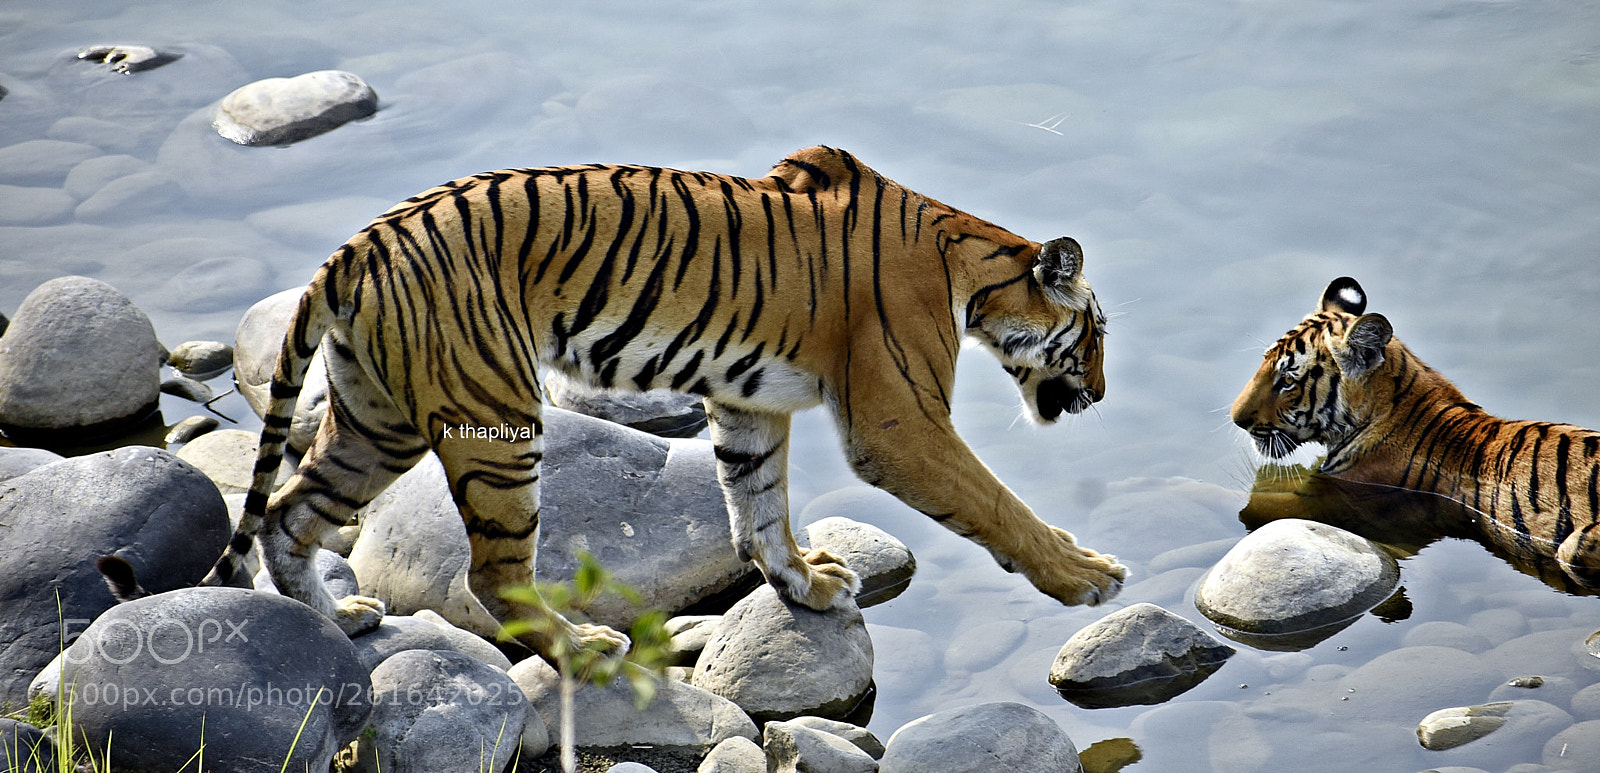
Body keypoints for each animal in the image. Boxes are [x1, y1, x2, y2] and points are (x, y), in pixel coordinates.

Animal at [99, 145, 1126, 661]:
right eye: (1096, 333)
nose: (1105, 394)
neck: (972, 269)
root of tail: (360, 243)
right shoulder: (899, 420)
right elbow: (995, 503)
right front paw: (1088, 575)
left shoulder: (750, 405)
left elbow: (758, 506)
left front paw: (805, 585)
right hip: (499, 422)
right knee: (492, 576)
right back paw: (583, 642)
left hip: (374, 419)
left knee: (285, 510)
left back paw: (338, 620)